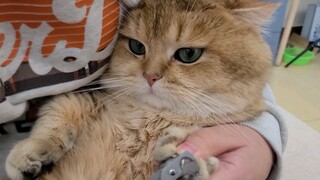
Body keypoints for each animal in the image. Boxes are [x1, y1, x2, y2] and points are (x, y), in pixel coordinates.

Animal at [6, 0, 278, 179]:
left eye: (189, 54)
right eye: (137, 47)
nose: (150, 76)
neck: (148, 119)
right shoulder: (91, 100)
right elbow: (61, 108)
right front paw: (32, 153)